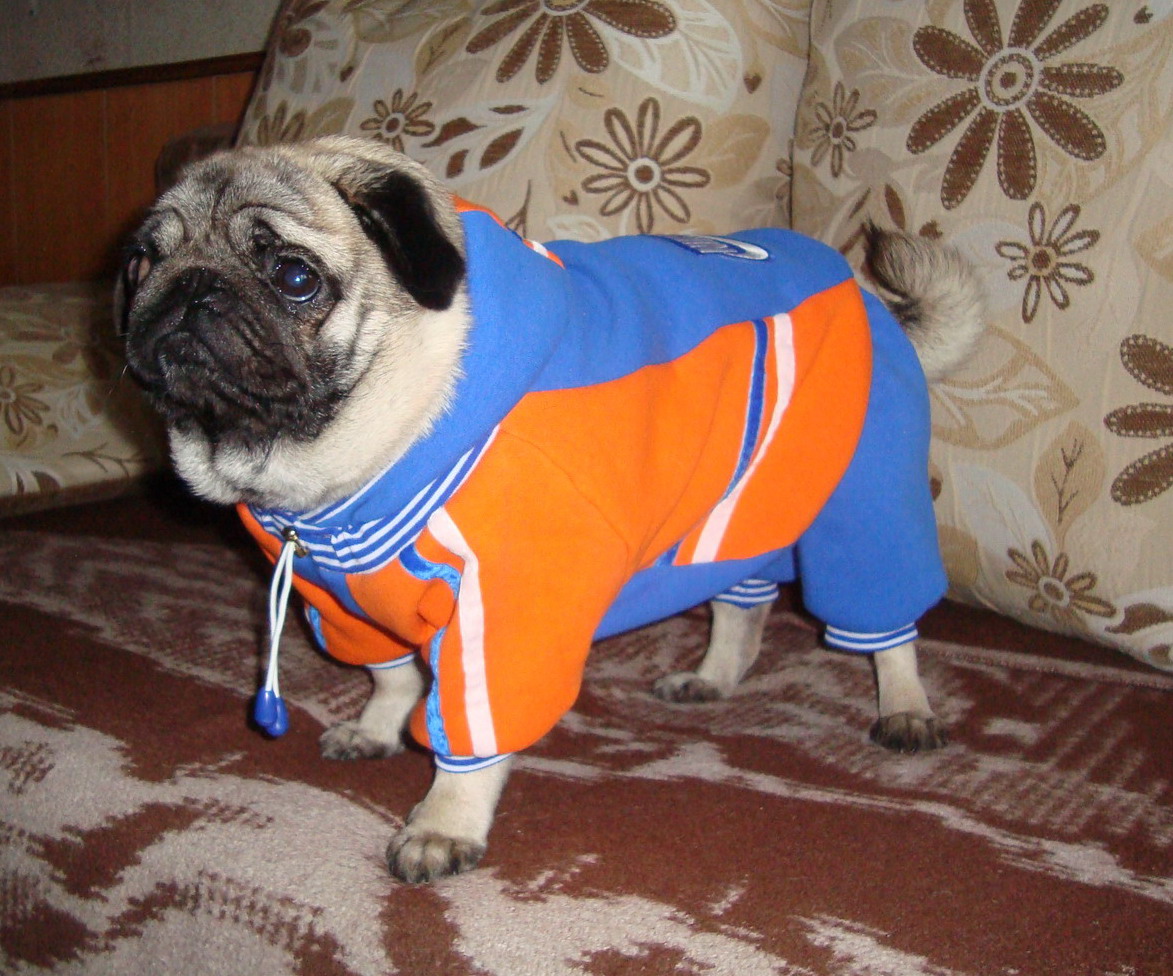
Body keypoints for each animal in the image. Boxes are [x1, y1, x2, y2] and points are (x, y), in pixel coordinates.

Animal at [117, 136, 984, 883]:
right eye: (141, 263)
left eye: (293, 277)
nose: (190, 288)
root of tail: (871, 300)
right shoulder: (340, 602)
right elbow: (391, 676)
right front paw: (377, 727)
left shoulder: (502, 615)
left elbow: (469, 730)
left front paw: (444, 824)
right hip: (739, 510)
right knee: (742, 602)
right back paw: (712, 676)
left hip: (863, 499)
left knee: (883, 619)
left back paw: (903, 708)